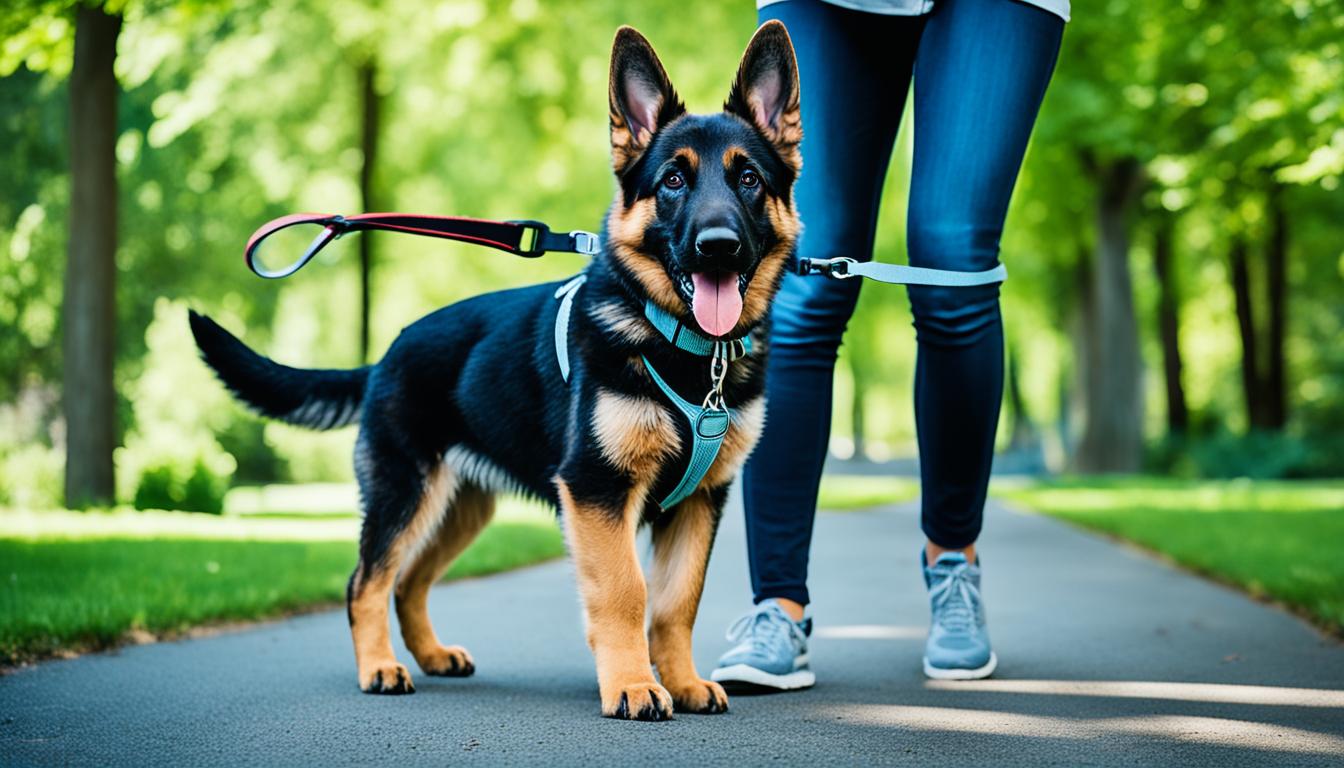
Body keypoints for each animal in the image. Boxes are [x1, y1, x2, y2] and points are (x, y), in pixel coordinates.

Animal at [189, 24, 795, 720]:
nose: (718, 247)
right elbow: (626, 592)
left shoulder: (699, 502)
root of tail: (387, 352)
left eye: (748, 178)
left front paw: (682, 681)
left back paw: (430, 656)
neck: (689, 350)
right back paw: (379, 667)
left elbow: (677, 602)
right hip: (404, 494)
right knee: (366, 580)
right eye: (672, 180)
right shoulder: (597, 491)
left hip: (458, 509)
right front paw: (634, 685)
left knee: (409, 580)